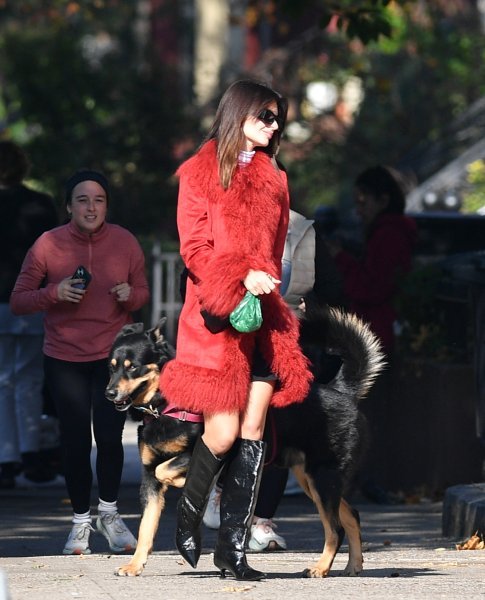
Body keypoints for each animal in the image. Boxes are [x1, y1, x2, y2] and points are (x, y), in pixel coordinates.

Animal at [105, 304, 382, 576]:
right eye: (112, 366)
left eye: (133, 366)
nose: (109, 393)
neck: (166, 406)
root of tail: (341, 390)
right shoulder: (149, 479)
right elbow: (146, 527)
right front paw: (134, 565)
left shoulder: (207, 449)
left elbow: (167, 470)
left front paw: (186, 484)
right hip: (312, 481)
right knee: (351, 516)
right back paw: (353, 565)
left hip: (322, 478)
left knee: (335, 528)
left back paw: (321, 567)